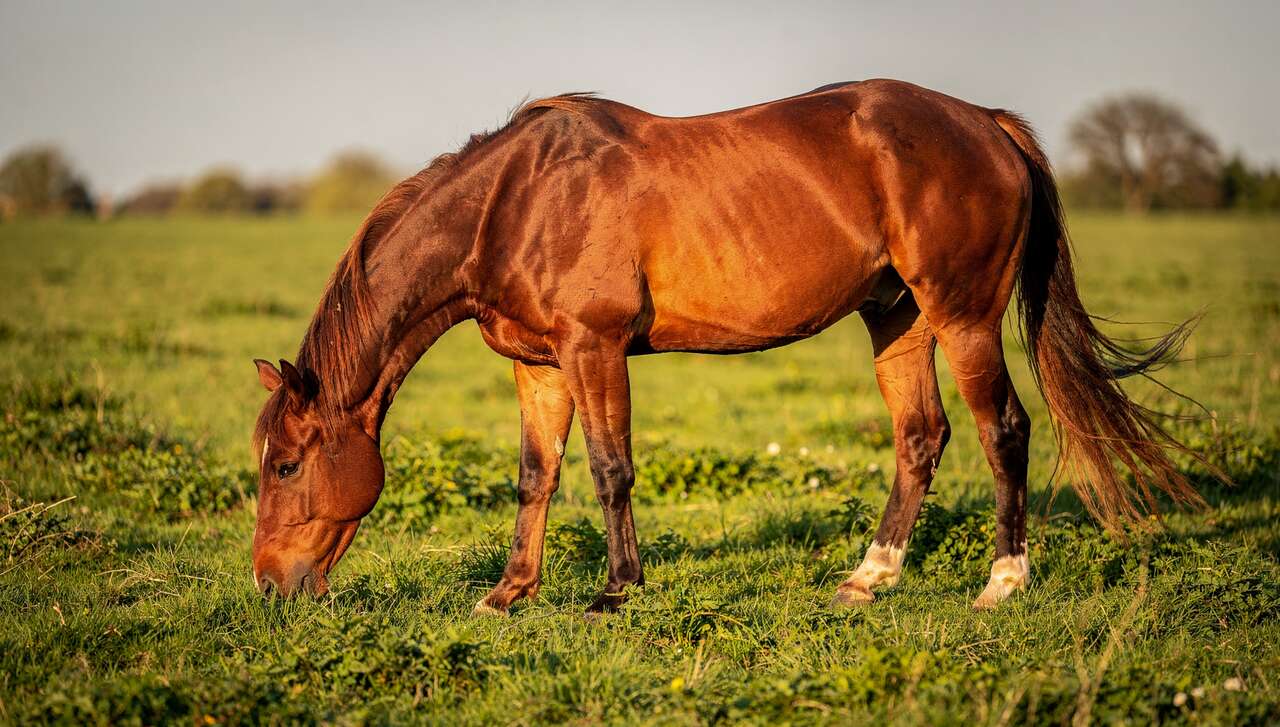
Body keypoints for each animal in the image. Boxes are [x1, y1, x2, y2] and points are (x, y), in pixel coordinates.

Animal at [249, 79, 1206, 613]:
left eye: (287, 465)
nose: (267, 584)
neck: (515, 200)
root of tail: (985, 123)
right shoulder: (538, 364)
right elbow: (536, 475)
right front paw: (509, 592)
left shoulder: (594, 347)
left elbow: (609, 469)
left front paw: (615, 590)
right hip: (897, 317)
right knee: (920, 437)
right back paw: (869, 576)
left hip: (963, 314)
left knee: (1002, 429)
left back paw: (1002, 581)